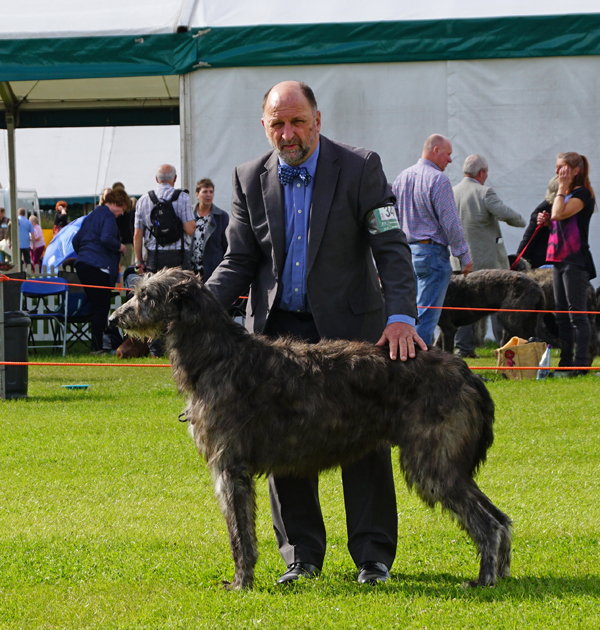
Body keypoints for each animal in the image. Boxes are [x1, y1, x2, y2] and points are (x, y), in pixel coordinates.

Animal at [109, 270, 510, 592]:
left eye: (146, 295)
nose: (114, 317)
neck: (217, 356)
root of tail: (468, 373)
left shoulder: (229, 468)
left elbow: (240, 535)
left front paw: (241, 583)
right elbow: (246, 531)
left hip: (433, 463)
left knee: (488, 523)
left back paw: (484, 580)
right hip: (445, 463)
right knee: (502, 519)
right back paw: (502, 574)